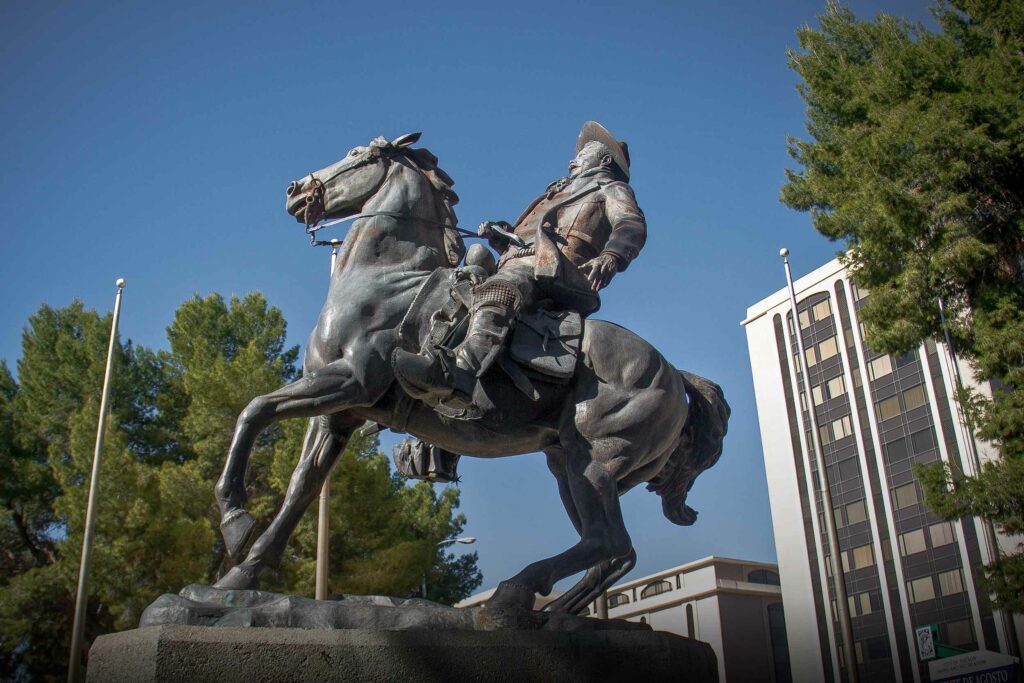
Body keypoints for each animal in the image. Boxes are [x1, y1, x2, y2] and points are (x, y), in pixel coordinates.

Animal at [214, 133, 729, 614]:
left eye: (358, 154)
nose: (295, 190)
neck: (382, 281)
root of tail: (676, 375)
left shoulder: (350, 382)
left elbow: (254, 410)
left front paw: (235, 518)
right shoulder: (340, 412)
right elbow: (301, 484)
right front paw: (242, 572)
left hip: (596, 461)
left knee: (607, 541)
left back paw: (514, 595)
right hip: (567, 464)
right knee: (614, 552)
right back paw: (551, 612)